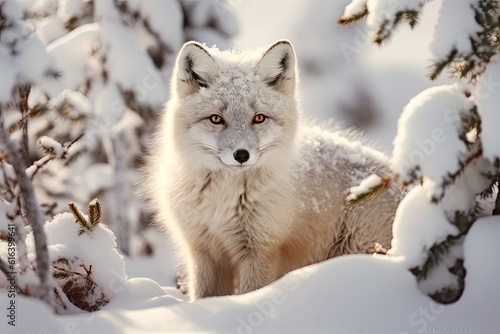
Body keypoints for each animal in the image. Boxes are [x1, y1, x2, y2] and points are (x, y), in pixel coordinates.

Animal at [145, 39, 402, 300]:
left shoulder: (261, 250)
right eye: (216, 119)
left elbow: (252, 292)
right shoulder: (202, 250)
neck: (224, 200)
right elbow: (205, 296)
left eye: (259, 118)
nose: (241, 155)